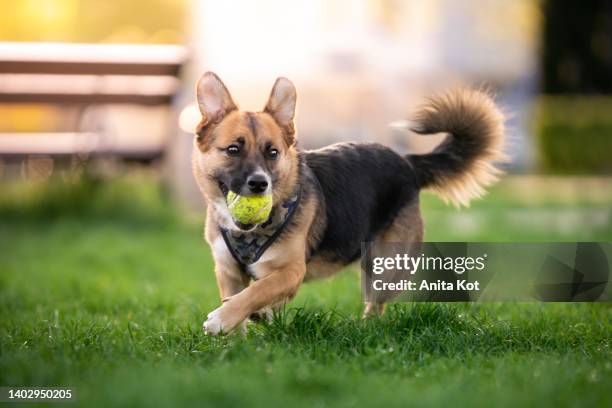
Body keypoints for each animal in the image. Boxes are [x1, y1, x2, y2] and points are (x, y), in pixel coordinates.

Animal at [192, 72, 506, 334]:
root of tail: (407, 163)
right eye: (233, 149)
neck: (249, 233)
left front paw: (222, 319)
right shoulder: (229, 272)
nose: (259, 184)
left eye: (272, 152)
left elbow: (256, 292)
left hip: (386, 266)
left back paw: (366, 329)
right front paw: (236, 339)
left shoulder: (292, 271)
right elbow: (245, 300)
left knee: (375, 305)